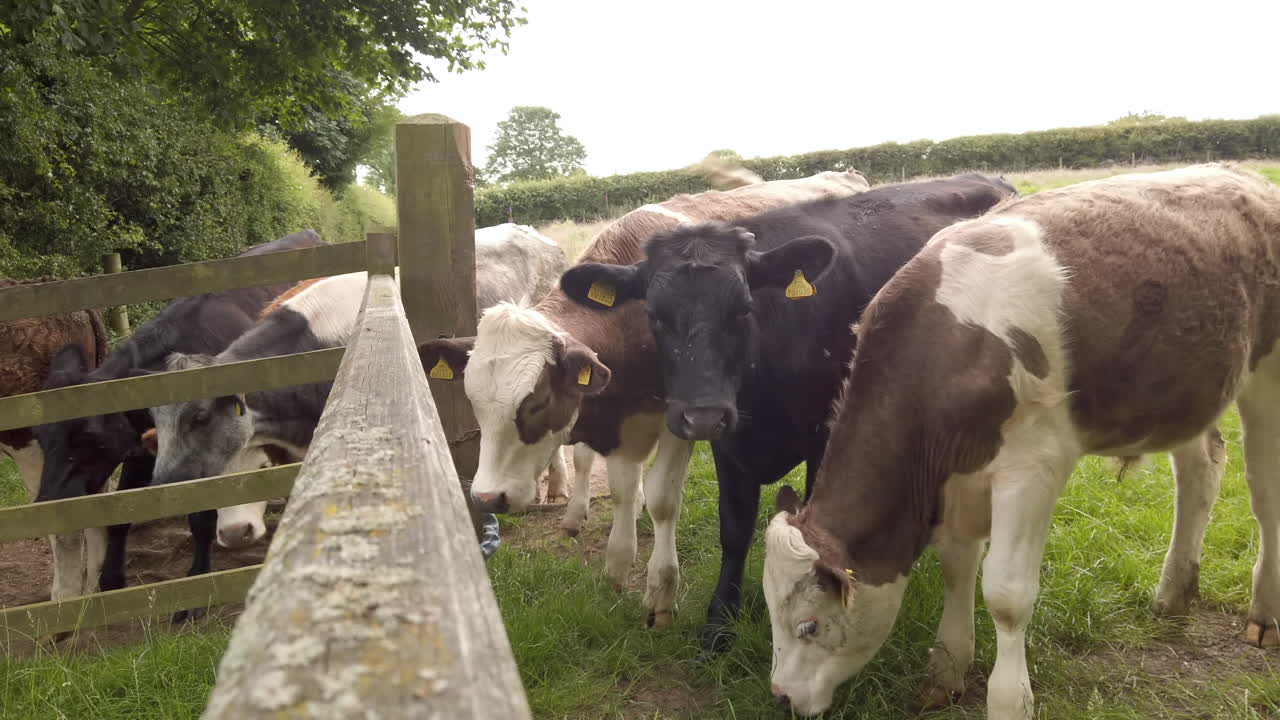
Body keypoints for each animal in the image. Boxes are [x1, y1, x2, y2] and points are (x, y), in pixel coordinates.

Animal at [32, 229, 325, 616]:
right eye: (39, 436)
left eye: (90, 438)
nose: (46, 503)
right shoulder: (145, 448)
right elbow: (123, 511)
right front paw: (112, 580)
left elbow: (203, 517)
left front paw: (196, 592)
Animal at [418, 168, 873, 634]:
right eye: (474, 401)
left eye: (538, 401)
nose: (487, 498)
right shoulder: (622, 420)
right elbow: (621, 489)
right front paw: (618, 565)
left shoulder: (680, 419)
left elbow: (662, 499)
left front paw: (661, 592)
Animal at [559, 173, 1017, 653]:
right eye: (653, 314)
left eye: (743, 308)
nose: (701, 415)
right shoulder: (729, 441)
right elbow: (734, 529)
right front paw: (719, 622)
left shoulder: (825, 435)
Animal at [761, 164, 1280, 719]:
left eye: (809, 625)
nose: (781, 695)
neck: (949, 349)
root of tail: (1239, 173)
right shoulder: (959, 473)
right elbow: (957, 567)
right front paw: (947, 668)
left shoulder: (1032, 467)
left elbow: (1006, 595)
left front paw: (1009, 699)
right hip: (1185, 389)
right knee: (1201, 467)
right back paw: (1174, 592)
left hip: (1268, 373)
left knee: (1264, 490)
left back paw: (1264, 612)